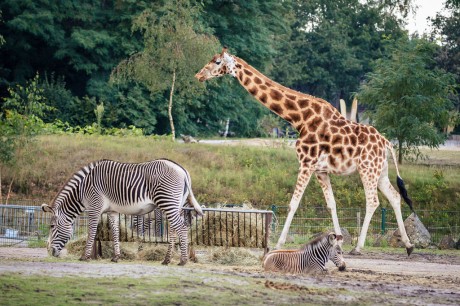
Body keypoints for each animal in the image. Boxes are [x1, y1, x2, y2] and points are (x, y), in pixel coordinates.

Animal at [40, 159, 202, 264]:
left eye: (52, 226)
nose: (49, 252)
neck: (81, 191)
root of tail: (182, 169)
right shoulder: (112, 211)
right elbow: (115, 232)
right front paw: (116, 257)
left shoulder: (94, 208)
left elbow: (91, 232)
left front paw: (85, 256)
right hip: (175, 204)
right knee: (174, 228)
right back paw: (166, 260)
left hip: (167, 201)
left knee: (181, 227)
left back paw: (183, 260)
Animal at [196, 47, 416, 255]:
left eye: (217, 61)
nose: (198, 75)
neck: (299, 118)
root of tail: (386, 142)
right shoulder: (321, 170)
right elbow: (331, 204)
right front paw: (338, 242)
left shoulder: (306, 163)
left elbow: (293, 203)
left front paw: (278, 243)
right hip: (380, 171)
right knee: (395, 197)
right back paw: (408, 245)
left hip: (367, 169)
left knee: (373, 201)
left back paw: (359, 247)